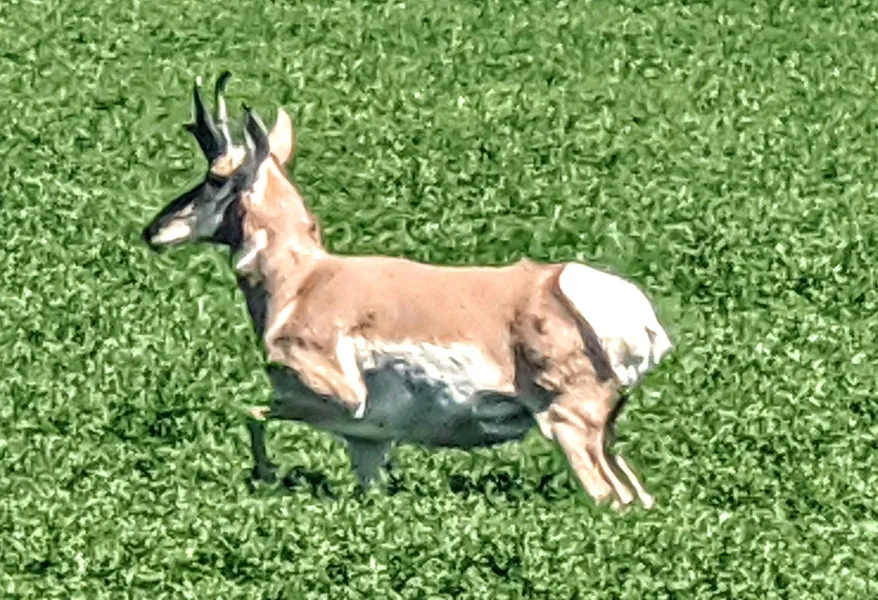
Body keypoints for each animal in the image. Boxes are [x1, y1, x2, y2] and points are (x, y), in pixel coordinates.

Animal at [140, 72, 673, 509]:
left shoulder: (340, 397)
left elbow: (250, 410)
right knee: (639, 497)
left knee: (609, 497)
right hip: (605, 432)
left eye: (214, 178)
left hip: (568, 422)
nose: (153, 231)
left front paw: (267, 474)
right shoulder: (369, 440)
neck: (301, 284)